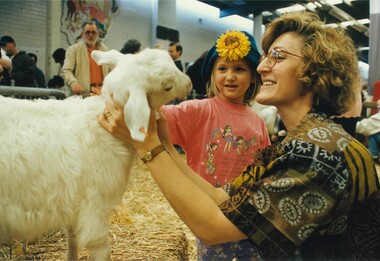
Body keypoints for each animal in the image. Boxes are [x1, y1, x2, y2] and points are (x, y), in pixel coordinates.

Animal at [0, 48, 191, 260]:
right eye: (167, 87)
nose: (190, 82)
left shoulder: (73, 206)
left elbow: (72, 240)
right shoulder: (93, 206)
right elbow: (101, 249)